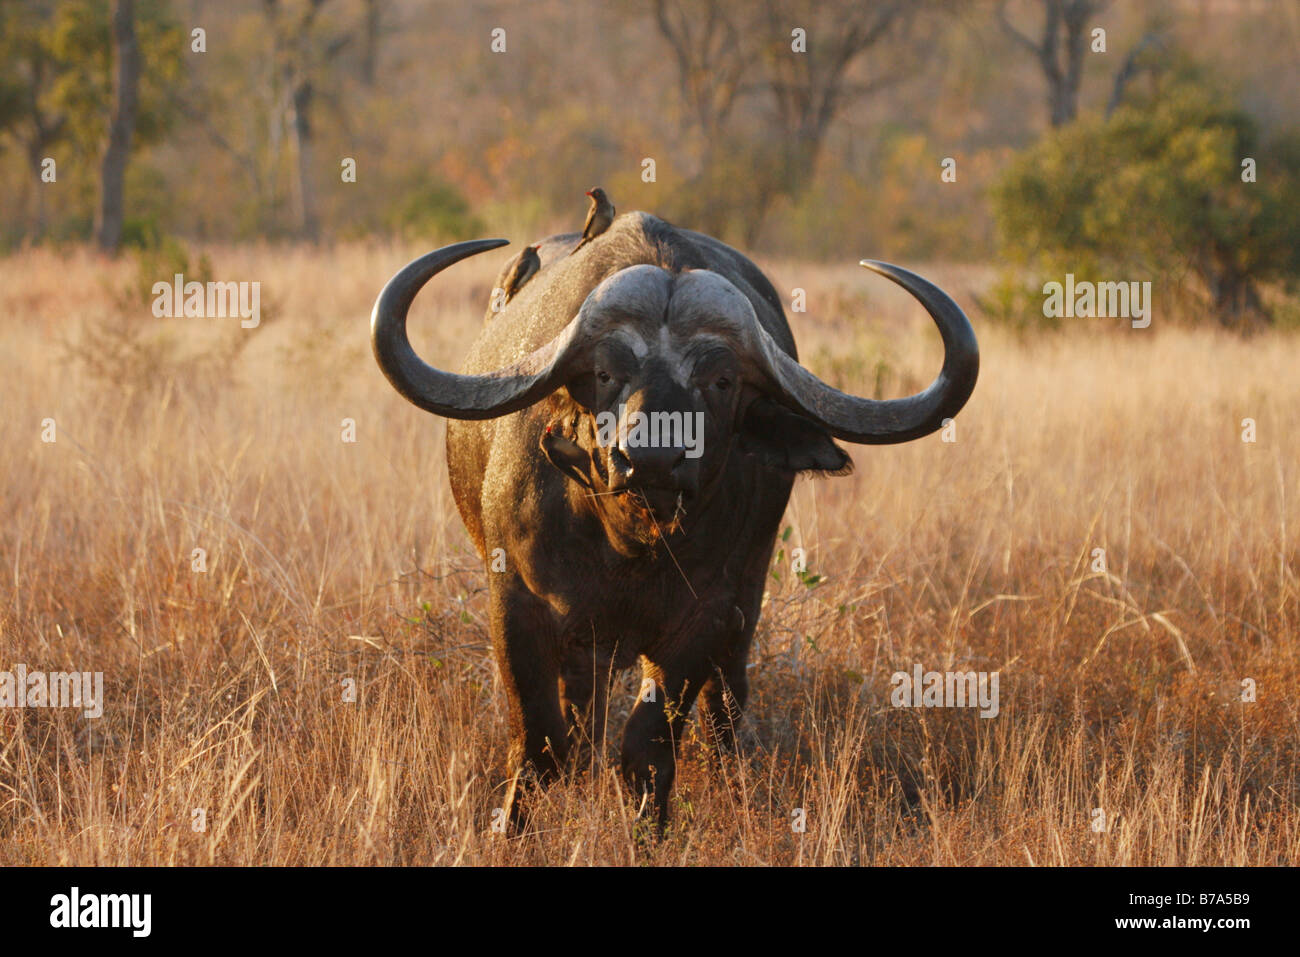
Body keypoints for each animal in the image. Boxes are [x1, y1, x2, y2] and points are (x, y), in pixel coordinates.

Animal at [371, 211, 978, 832]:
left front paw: (647, 830)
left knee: (725, 706)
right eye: (605, 372)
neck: (628, 544)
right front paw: (511, 832)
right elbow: (540, 745)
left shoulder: (706, 616)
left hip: (742, 613)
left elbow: (647, 748)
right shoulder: (516, 604)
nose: (653, 458)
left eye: (722, 381)